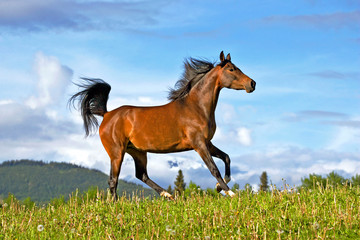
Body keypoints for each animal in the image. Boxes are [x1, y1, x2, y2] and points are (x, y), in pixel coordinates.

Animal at [69, 51, 256, 200]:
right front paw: (231, 193)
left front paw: (219, 188)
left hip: (137, 152)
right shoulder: (199, 144)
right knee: (113, 180)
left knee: (141, 175)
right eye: (231, 69)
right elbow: (213, 168)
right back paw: (116, 205)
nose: (252, 84)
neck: (196, 107)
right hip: (116, 153)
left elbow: (226, 158)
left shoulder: (207, 143)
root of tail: (107, 114)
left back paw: (168, 195)